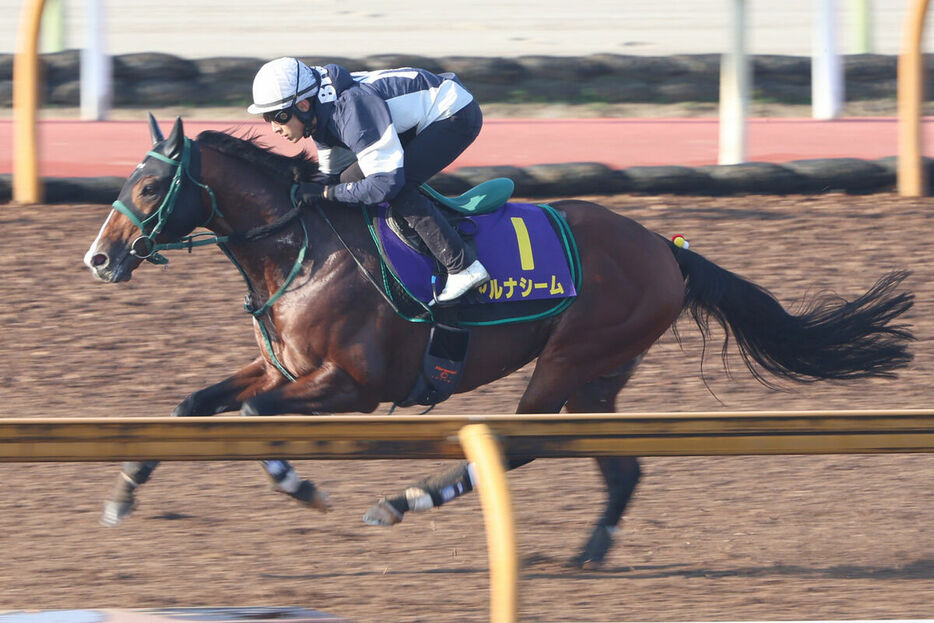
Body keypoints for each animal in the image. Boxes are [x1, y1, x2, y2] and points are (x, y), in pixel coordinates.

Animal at [84, 114, 916, 568]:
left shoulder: (353, 386)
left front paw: (304, 485)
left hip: (569, 359)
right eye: (126, 177)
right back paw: (589, 552)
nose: (99, 256)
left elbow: (258, 424)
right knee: (621, 467)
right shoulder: (279, 369)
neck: (303, 246)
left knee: (519, 444)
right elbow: (191, 405)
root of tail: (664, 246)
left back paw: (406, 499)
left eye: (151, 185)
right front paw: (121, 496)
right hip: (598, 377)